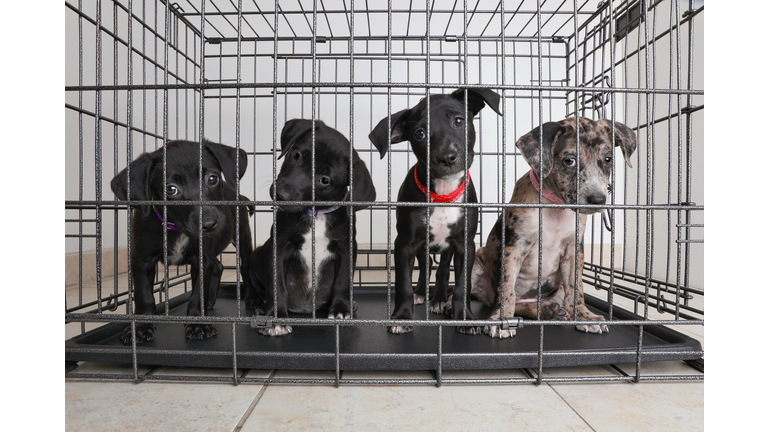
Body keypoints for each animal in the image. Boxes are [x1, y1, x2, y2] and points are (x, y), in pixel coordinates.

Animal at [368, 86, 500, 332]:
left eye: (458, 121)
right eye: (419, 134)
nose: (447, 157)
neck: (442, 195)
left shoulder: (464, 244)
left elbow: (461, 285)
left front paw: (464, 318)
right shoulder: (405, 243)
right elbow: (403, 283)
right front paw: (402, 317)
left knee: (441, 269)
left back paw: (438, 298)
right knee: (427, 264)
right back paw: (421, 293)